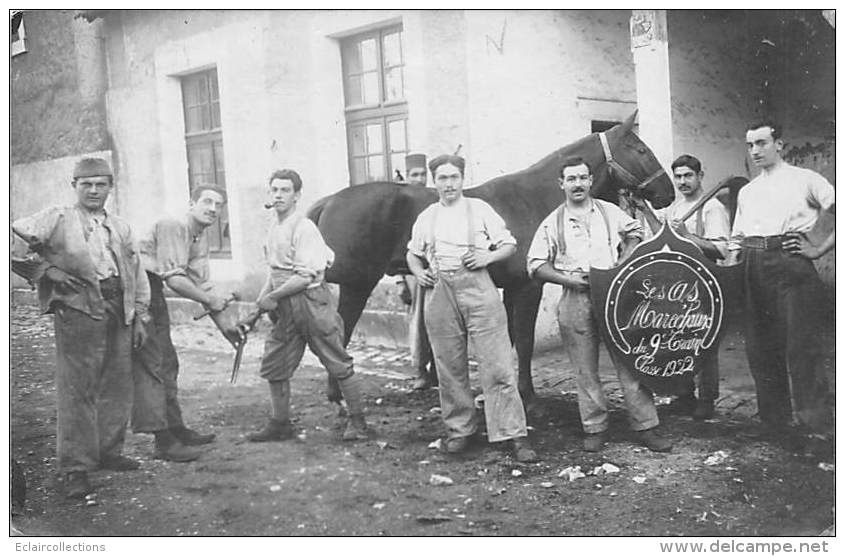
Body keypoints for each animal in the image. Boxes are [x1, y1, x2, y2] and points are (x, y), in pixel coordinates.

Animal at [308, 112, 672, 408]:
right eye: (640, 149)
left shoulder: (511, 288)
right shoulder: (527, 288)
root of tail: (330, 200)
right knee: (339, 335)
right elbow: (523, 341)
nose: (667, 193)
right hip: (356, 285)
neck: (531, 199)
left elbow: (510, 338)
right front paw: (527, 395)